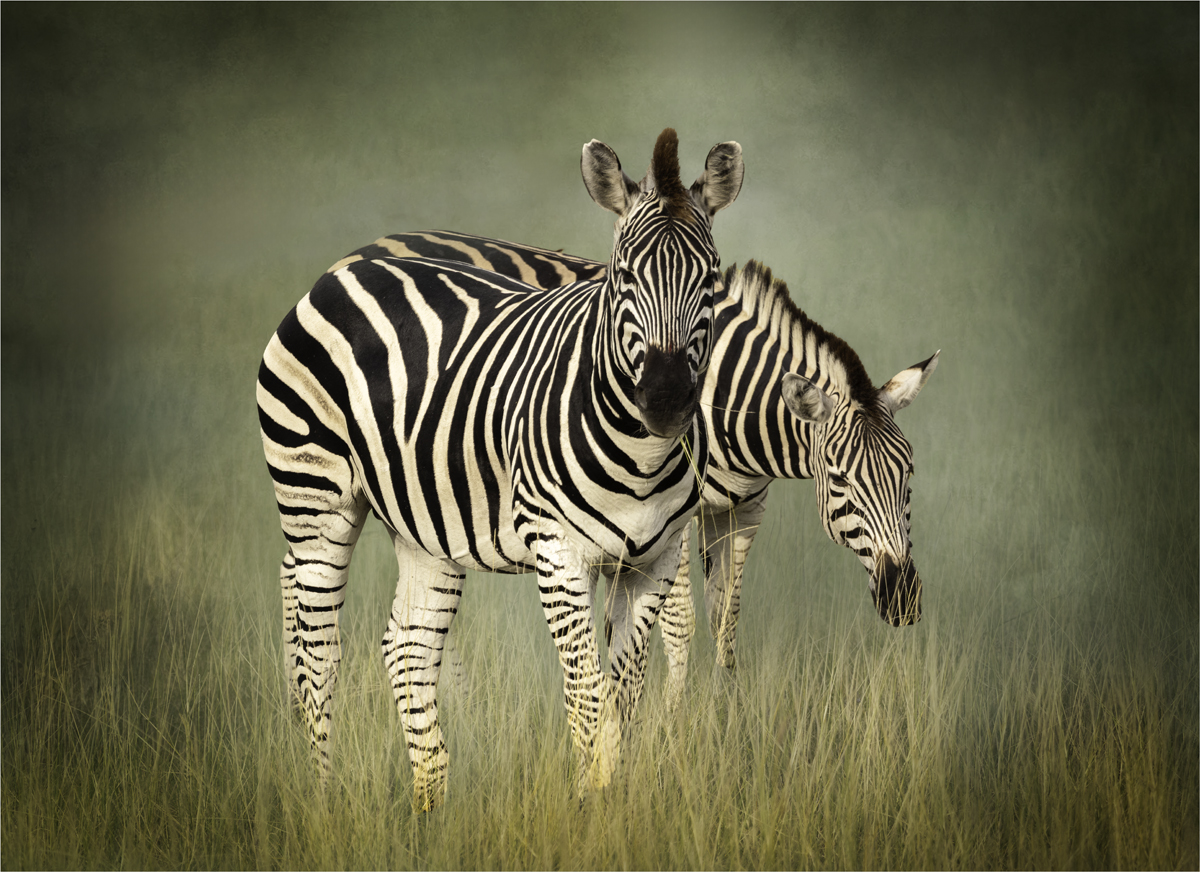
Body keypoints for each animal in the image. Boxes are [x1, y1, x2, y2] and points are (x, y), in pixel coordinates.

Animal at [257, 129, 744, 810]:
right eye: (623, 273)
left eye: (710, 278)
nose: (667, 399)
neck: (642, 461)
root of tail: (346, 269)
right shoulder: (557, 550)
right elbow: (588, 693)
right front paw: (592, 805)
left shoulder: (653, 559)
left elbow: (623, 694)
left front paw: (615, 804)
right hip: (315, 495)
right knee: (316, 651)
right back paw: (325, 799)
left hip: (423, 519)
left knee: (407, 647)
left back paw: (430, 805)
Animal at [337, 231, 938, 710]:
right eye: (839, 480)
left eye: (909, 477)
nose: (904, 601)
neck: (727, 397)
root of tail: (366, 248)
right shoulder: (668, 513)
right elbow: (680, 623)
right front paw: (668, 729)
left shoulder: (742, 509)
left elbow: (725, 617)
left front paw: (726, 723)